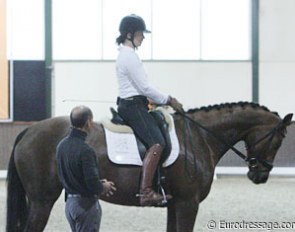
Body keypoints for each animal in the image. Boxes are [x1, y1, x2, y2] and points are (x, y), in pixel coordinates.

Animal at [5, 102, 294, 231]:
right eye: (280, 138)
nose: (259, 175)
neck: (200, 136)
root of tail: (29, 130)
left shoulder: (176, 204)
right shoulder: (188, 203)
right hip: (42, 200)